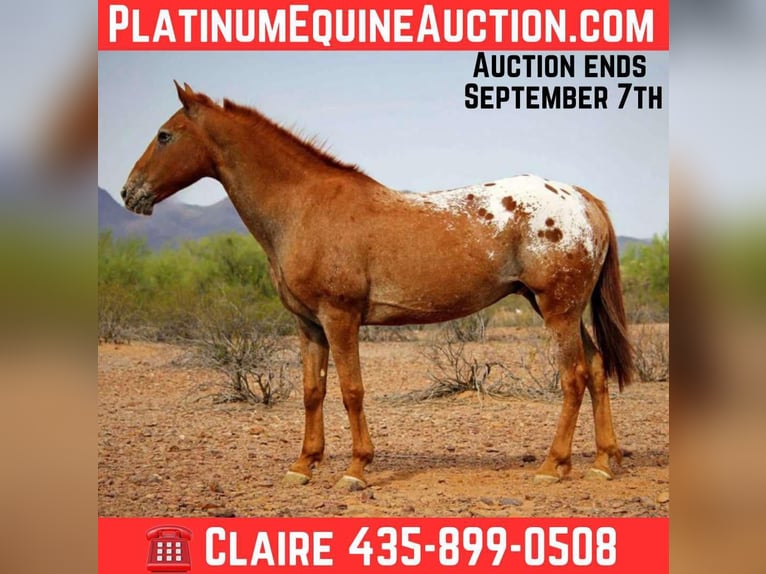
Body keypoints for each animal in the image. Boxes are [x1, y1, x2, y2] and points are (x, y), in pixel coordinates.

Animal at [121, 82, 634, 490]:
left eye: (164, 135)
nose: (130, 193)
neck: (304, 206)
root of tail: (582, 199)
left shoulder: (340, 317)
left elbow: (351, 390)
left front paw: (356, 469)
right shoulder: (308, 325)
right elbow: (312, 392)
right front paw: (303, 465)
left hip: (557, 310)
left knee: (574, 377)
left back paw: (553, 464)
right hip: (559, 308)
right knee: (597, 369)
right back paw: (603, 462)